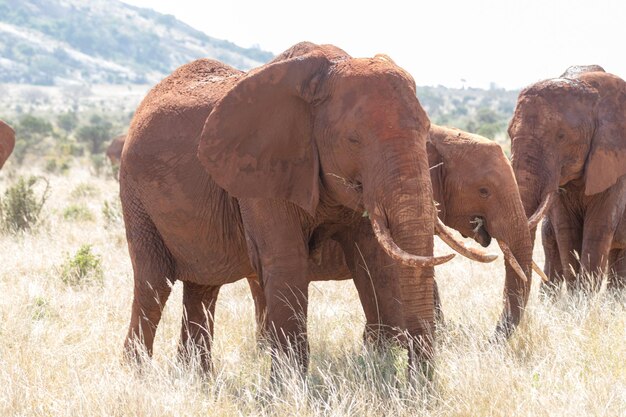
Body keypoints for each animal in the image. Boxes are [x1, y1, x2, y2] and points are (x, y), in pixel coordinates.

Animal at [508, 66, 624, 292]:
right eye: (509, 133)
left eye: (561, 136)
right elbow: (567, 231)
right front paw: (575, 296)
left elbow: (597, 229)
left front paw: (584, 297)